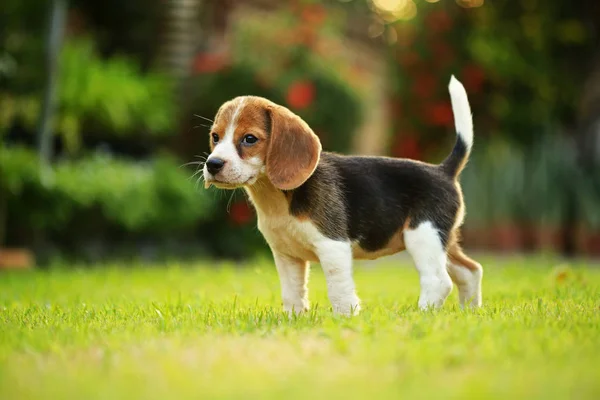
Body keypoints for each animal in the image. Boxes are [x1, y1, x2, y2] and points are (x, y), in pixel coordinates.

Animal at [203, 76, 482, 316]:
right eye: (215, 137)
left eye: (249, 139)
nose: (212, 164)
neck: (275, 197)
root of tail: (443, 170)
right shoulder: (286, 255)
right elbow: (292, 292)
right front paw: (293, 319)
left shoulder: (333, 246)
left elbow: (338, 289)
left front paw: (345, 317)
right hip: (442, 240)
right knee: (470, 271)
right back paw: (469, 312)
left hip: (423, 235)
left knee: (439, 281)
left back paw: (421, 313)